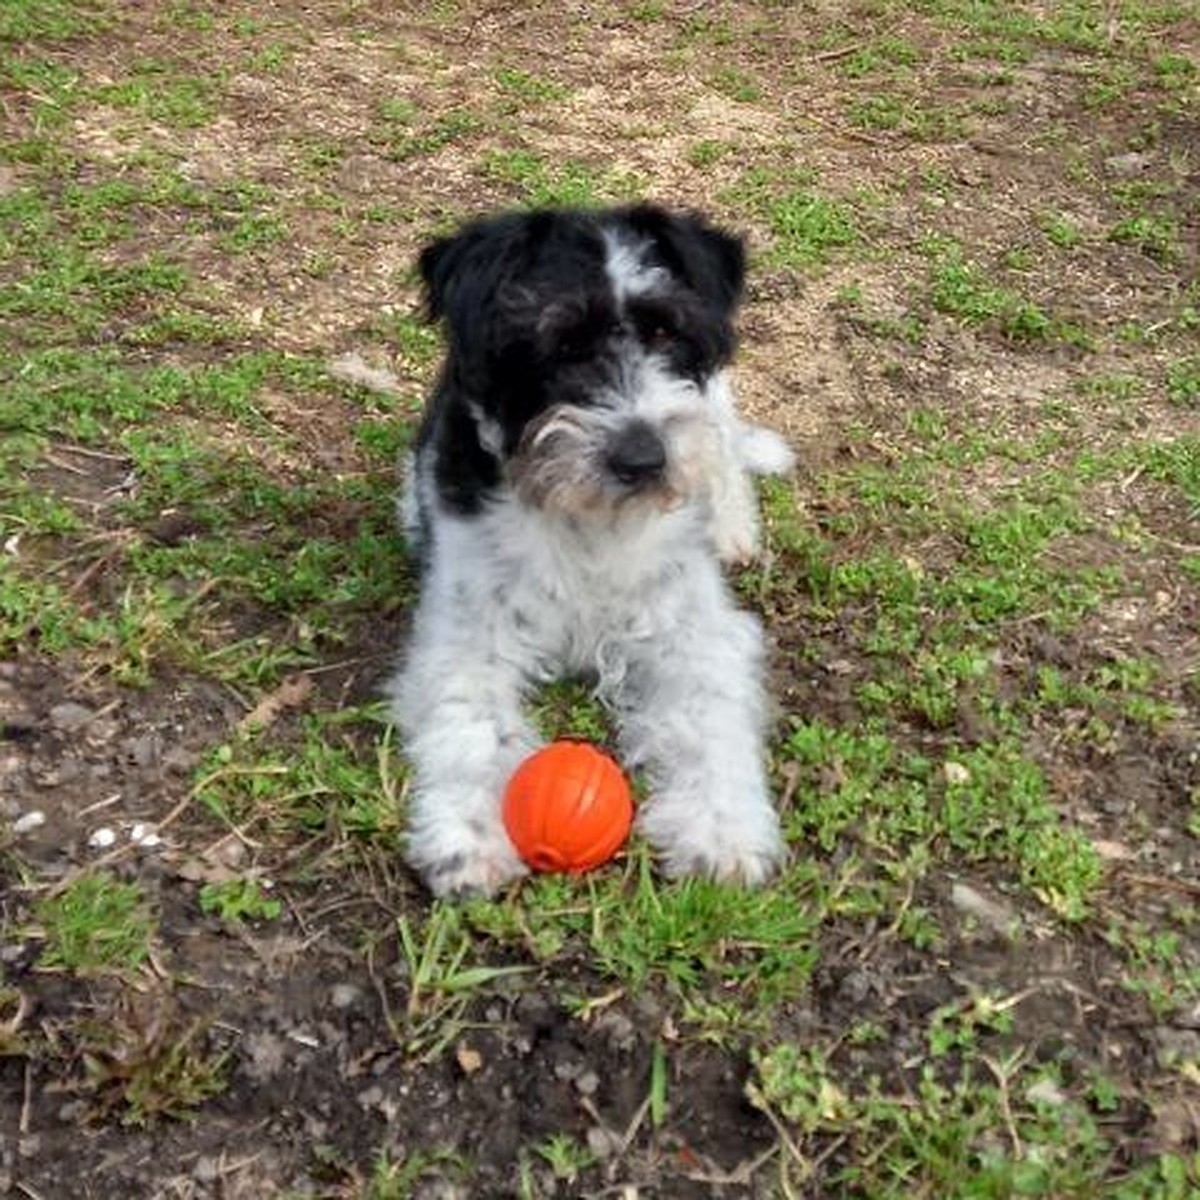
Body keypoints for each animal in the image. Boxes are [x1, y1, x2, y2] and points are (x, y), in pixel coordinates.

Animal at [388, 206, 792, 897]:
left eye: (666, 331)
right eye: (560, 342)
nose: (643, 458)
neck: (590, 521)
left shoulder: (695, 632)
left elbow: (708, 722)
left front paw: (721, 831)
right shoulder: (468, 637)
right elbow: (470, 726)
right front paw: (469, 840)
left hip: (713, 408)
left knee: (725, 444)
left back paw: (733, 524)